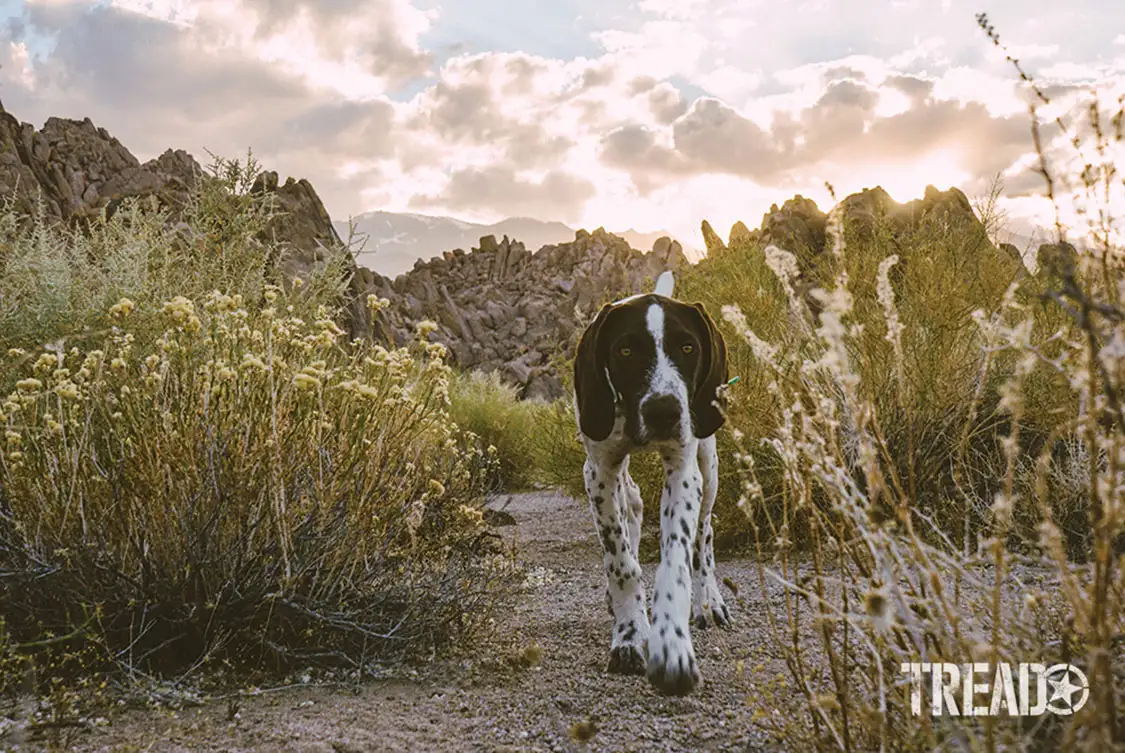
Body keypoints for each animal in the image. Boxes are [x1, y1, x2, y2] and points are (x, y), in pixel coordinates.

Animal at [571, 269, 729, 693]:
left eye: (688, 347)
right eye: (625, 351)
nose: (663, 412)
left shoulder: (683, 470)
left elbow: (676, 559)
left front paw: (671, 644)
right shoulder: (599, 470)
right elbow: (622, 562)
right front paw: (629, 634)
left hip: (708, 463)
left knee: (705, 534)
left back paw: (709, 601)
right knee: (634, 502)